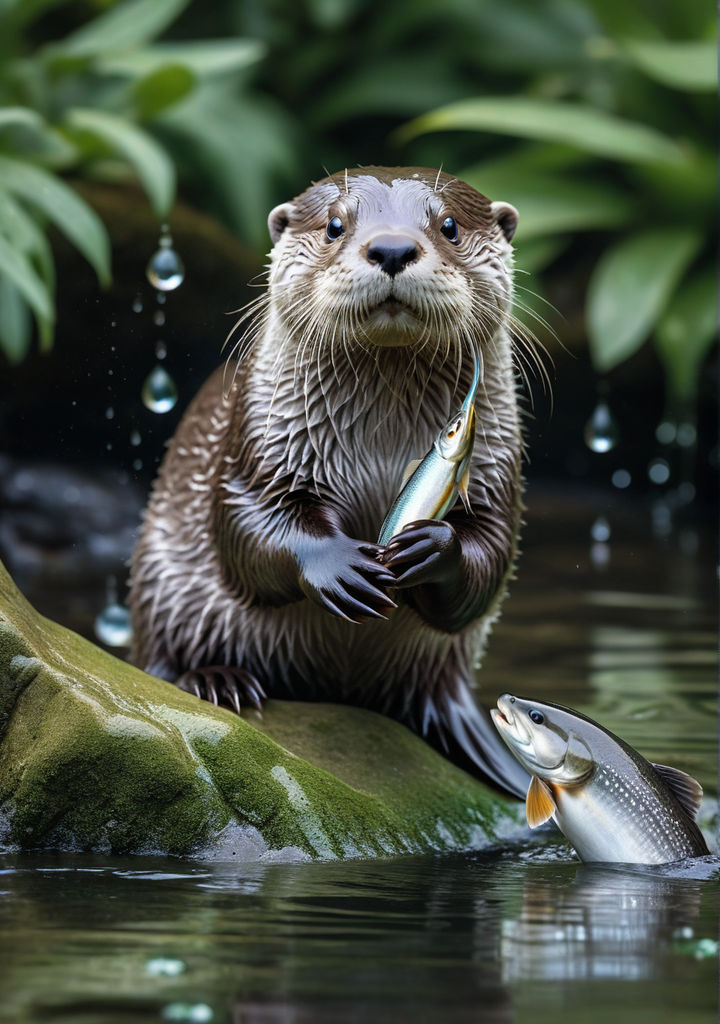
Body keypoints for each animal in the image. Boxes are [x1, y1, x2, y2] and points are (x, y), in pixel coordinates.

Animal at [131, 163, 528, 794]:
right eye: (335, 225)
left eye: (449, 225)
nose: (391, 248)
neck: (383, 448)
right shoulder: (259, 448)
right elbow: (249, 528)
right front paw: (340, 567)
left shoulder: (495, 468)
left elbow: (490, 556)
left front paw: (432, 548)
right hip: (162, 581)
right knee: (158, 655)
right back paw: (217, 680)